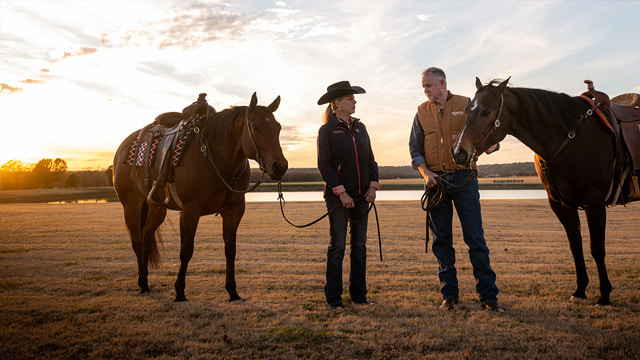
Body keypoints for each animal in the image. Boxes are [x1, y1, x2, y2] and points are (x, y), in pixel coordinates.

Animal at [112, 93, 288, 300]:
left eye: (278, 127)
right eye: (255, 126)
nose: (280, 166)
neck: (217, 158)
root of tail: (124, 146)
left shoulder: (234, 210)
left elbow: (230, 250)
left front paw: (232, 291)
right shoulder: (190, 211)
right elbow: (186, 250)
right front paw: (179, 291)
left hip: (157, 208)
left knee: (147, 236)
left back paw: (146, 282)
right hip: (131, 205)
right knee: (137, 241)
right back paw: (142, 285)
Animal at [450, 77, 636, 306]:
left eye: (485, 111)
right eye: (467, 110)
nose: (458, 152)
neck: (570, 136)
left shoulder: (595, 202)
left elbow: (597, 248)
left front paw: (604, 295)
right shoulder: (560, 204)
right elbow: (576, 246)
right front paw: (580, 289)